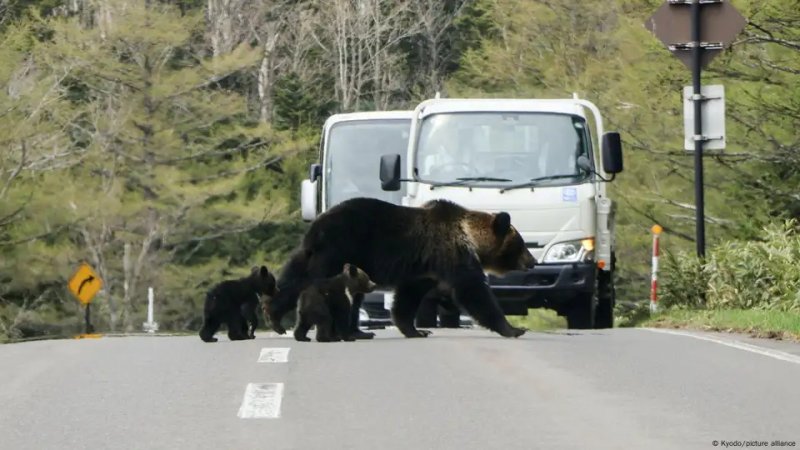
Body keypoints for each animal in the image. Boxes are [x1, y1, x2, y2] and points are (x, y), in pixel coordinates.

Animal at [266, 197, 536, 339]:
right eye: (521, 244)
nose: (532, 261)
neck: (468, 236)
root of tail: (316, 226)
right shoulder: (451, 254)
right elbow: (473, 291)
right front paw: (514, 328)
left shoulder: (425, 269)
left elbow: (408, 296)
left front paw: (415, 329)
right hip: (338, 252)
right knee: (317, 284)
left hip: (324, 256)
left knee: (296, 278)